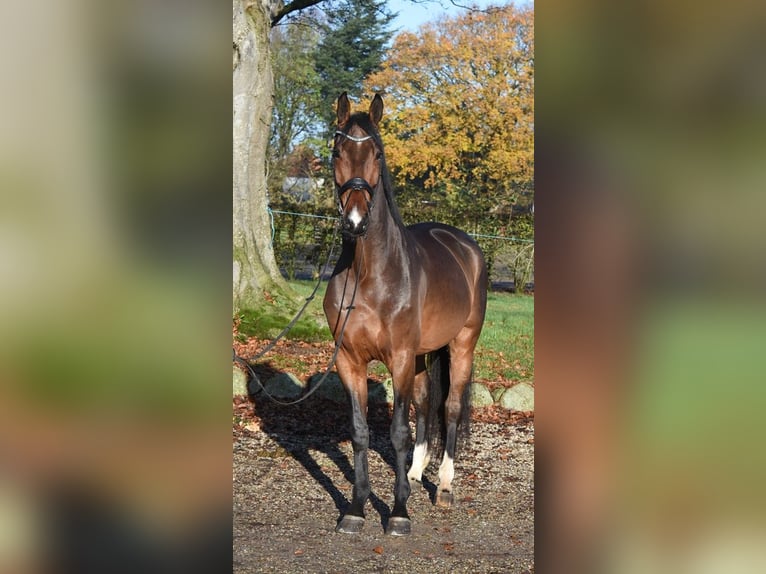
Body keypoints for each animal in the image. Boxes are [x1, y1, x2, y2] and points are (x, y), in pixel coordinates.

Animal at [322, 92, 486, 536]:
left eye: (377, 154)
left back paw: (443, 487)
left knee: (449, 408)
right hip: (422, 356)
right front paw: (356, 508)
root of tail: (464, 245)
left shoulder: (397, 358)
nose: (355, 222)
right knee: (426, 405)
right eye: (337, 152)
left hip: (461, 344)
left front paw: (398, 512)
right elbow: (361, 431)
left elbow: (397, 431)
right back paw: (413, 475)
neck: (369, 274)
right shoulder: (349, 361)